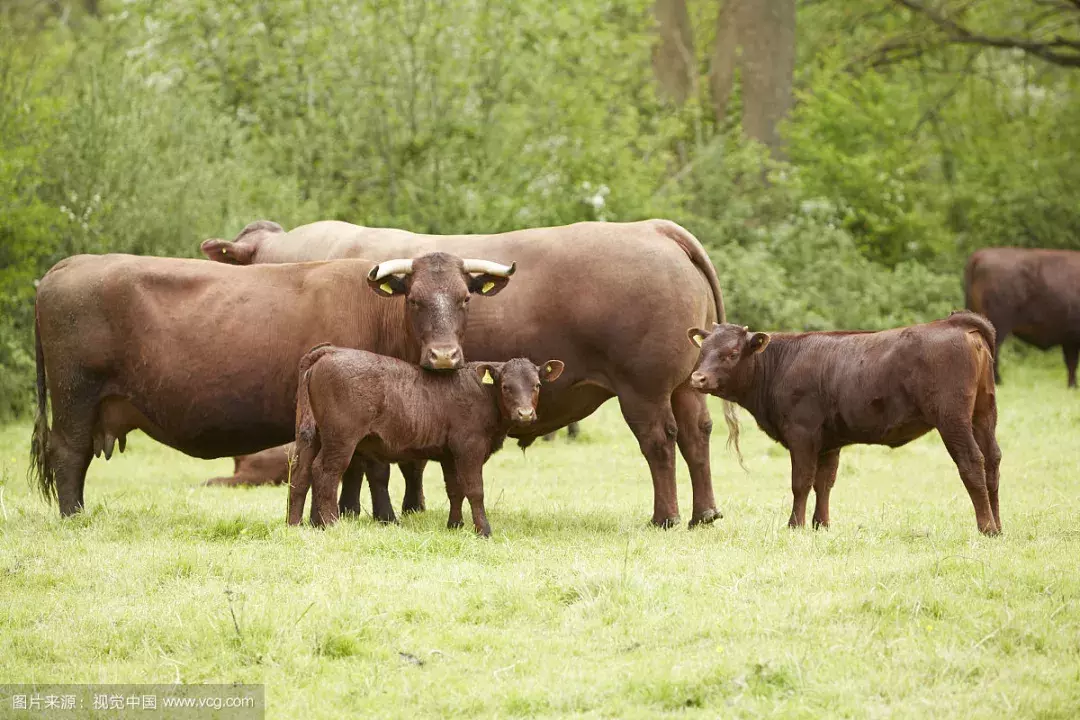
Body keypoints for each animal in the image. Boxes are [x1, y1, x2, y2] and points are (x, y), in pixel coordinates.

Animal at [203, 218, 725, 528]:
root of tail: (654, 228)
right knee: (697, 436)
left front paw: (361, 512)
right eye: (414, 300)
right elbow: (406, 460)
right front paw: (409, 508)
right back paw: (704, 513)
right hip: (687, 386)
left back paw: (665, 517)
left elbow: (367, 464)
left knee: (660, 444)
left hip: (644, 390)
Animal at [686, 310, 997, 535]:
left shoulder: (802, 434)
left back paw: (986, 528)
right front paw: (820, 525)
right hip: (984, 413)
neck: (779, 365)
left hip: (952, 418)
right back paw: (999, 526)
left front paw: (795, 525)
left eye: (732, 353)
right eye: (702, 352)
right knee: (992, 462)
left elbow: (801, 482)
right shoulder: (829, 442)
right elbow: (824, 483)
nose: (697, 378)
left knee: (972, 462)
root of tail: (954, 322)